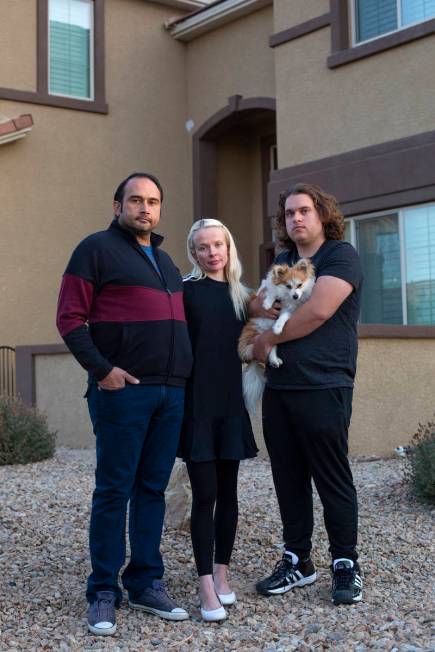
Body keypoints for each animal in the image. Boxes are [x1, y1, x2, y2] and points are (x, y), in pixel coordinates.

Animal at [240, 258, 316, 412]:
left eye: (299, 285)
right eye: (288, 286)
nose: (295, 296)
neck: (286, 297)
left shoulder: (290, 310)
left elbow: (284, 316)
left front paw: (278, 327)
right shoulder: (265, 287)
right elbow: (271, 291)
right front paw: (268, 303)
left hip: (268, 340)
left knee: (271, 347)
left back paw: (274, 359)